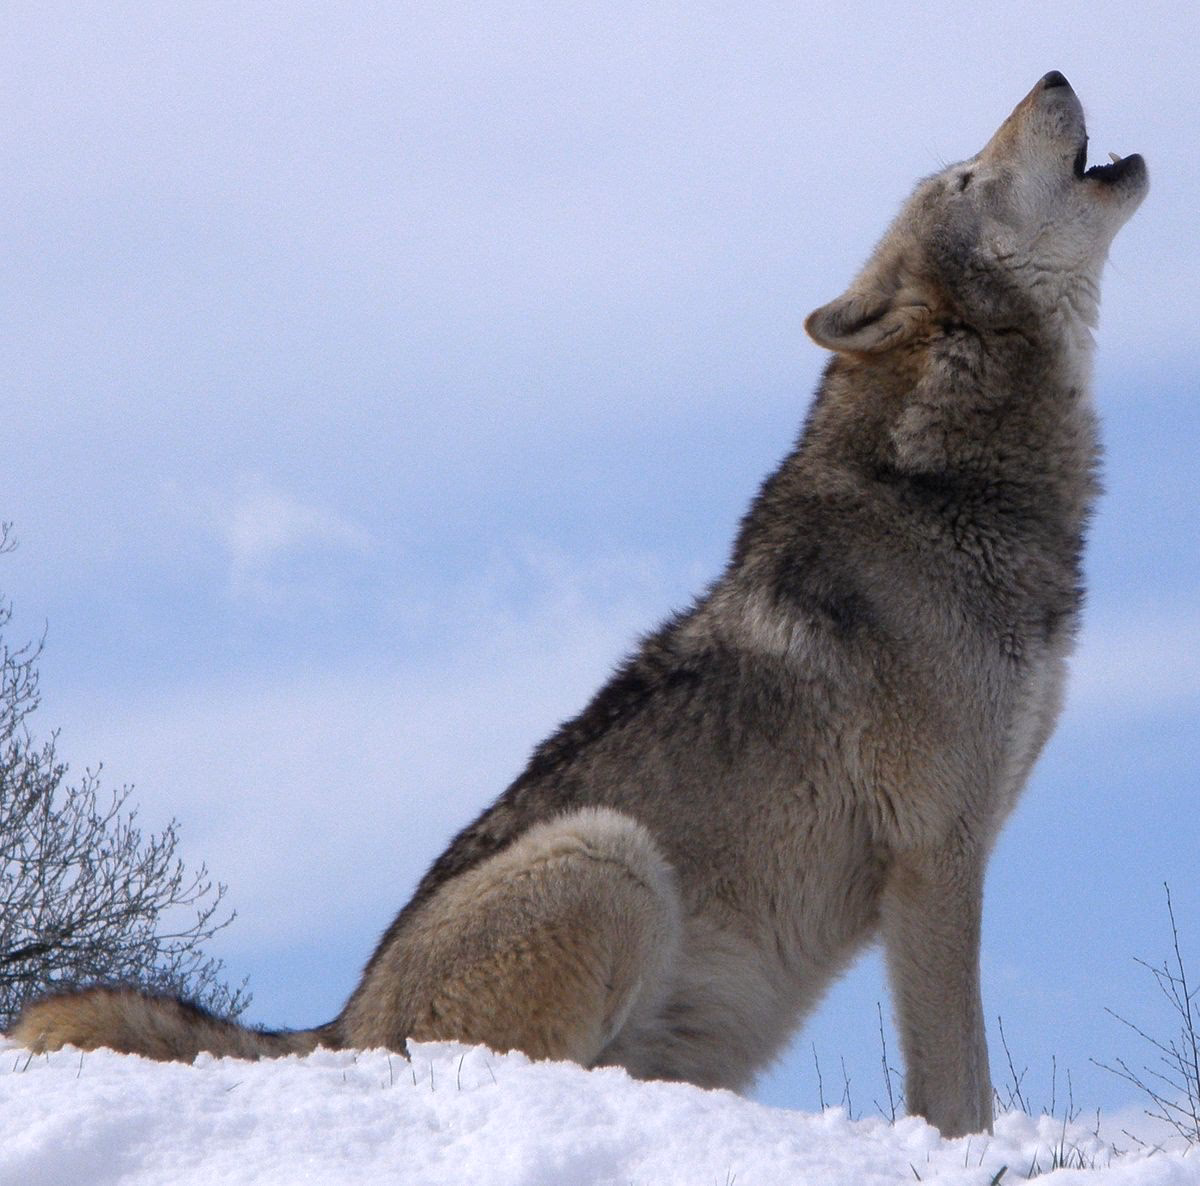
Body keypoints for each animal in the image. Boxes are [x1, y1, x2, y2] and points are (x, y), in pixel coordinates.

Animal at [11, 72, 1146, 1137]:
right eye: (965, 178)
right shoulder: (935, 856)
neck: (946, 485)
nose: (1053, 73)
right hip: (611, 855)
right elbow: (960, 1085)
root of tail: (336, 1029)